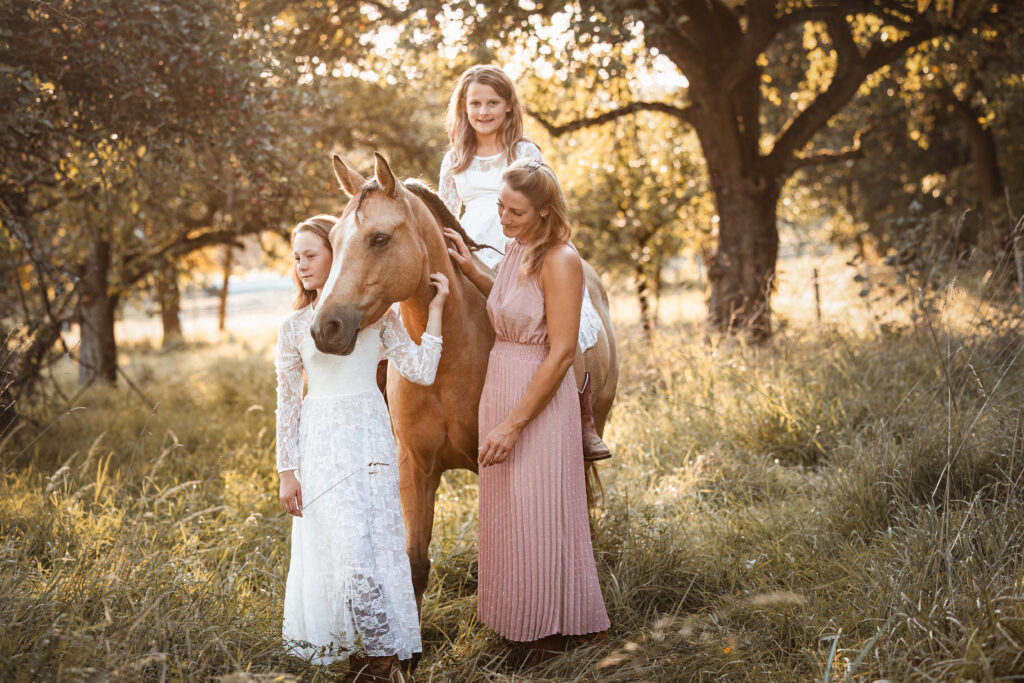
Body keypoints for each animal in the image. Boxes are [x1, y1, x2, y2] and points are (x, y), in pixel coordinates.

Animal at [309, 152, 614, 610]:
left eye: (379, 239)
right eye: (333, 240)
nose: (325, 328)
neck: (444, 359)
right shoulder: (415, 468)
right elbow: (416, 564)